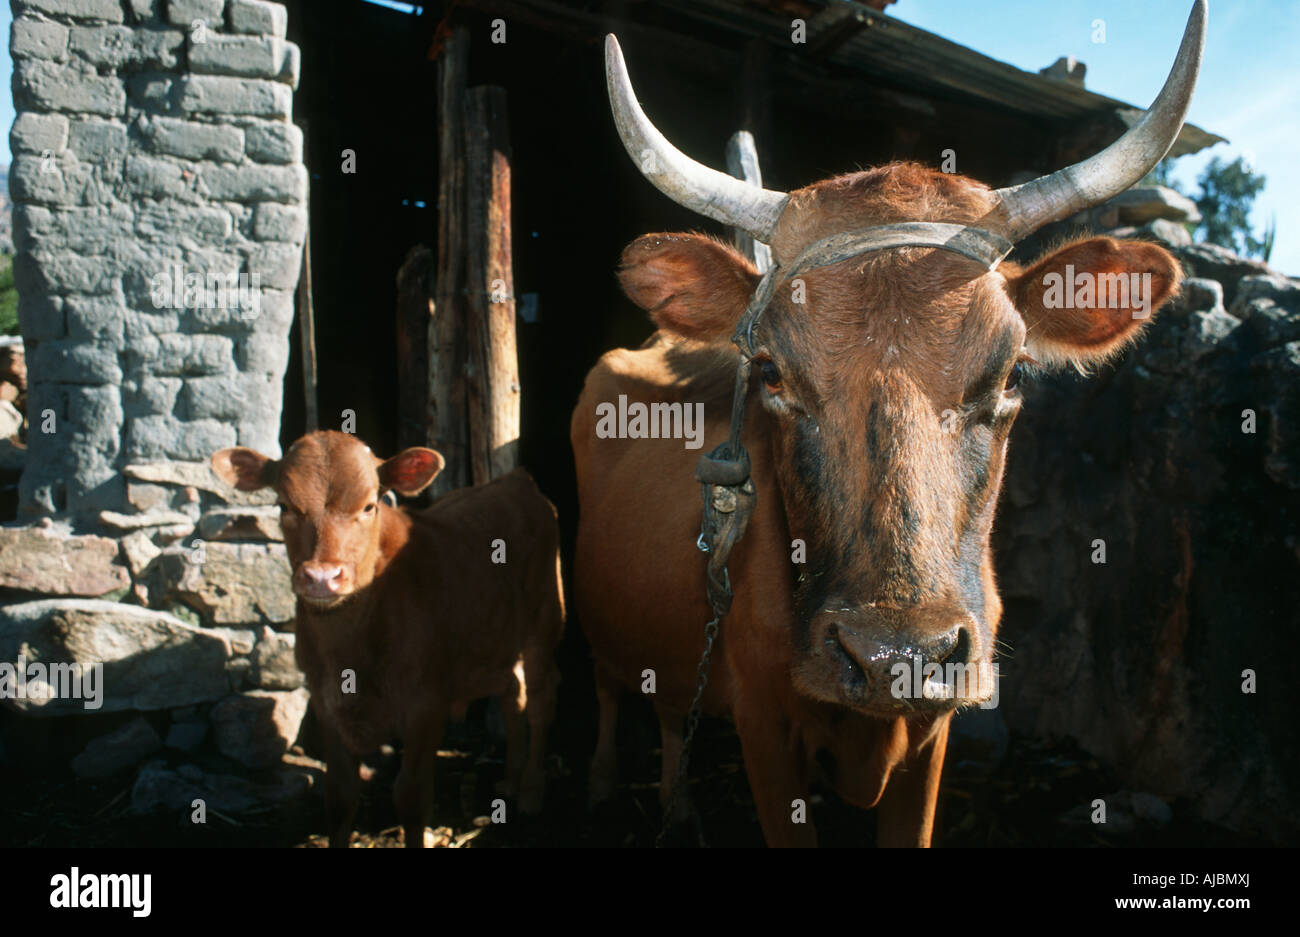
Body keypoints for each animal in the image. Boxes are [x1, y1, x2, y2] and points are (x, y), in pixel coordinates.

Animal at [210, 431, 561, 847]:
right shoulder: (325, 703)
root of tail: (515, 480)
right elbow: (339, 799)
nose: (322, 578)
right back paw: (510, 778)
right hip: (495, 639)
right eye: (284, 505)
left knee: (540, 702)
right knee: (512, 692)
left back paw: (532, 791)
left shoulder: (427, 704)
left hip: (546, 619)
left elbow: (410, 798)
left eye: (369, 505)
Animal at [574, 1, 1201, 847]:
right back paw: (603, 782)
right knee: (612, 688)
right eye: (770, 372)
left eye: (1013, 371)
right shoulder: (765, 728)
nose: (895, 654)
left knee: (672, 709)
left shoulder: (933, 738)